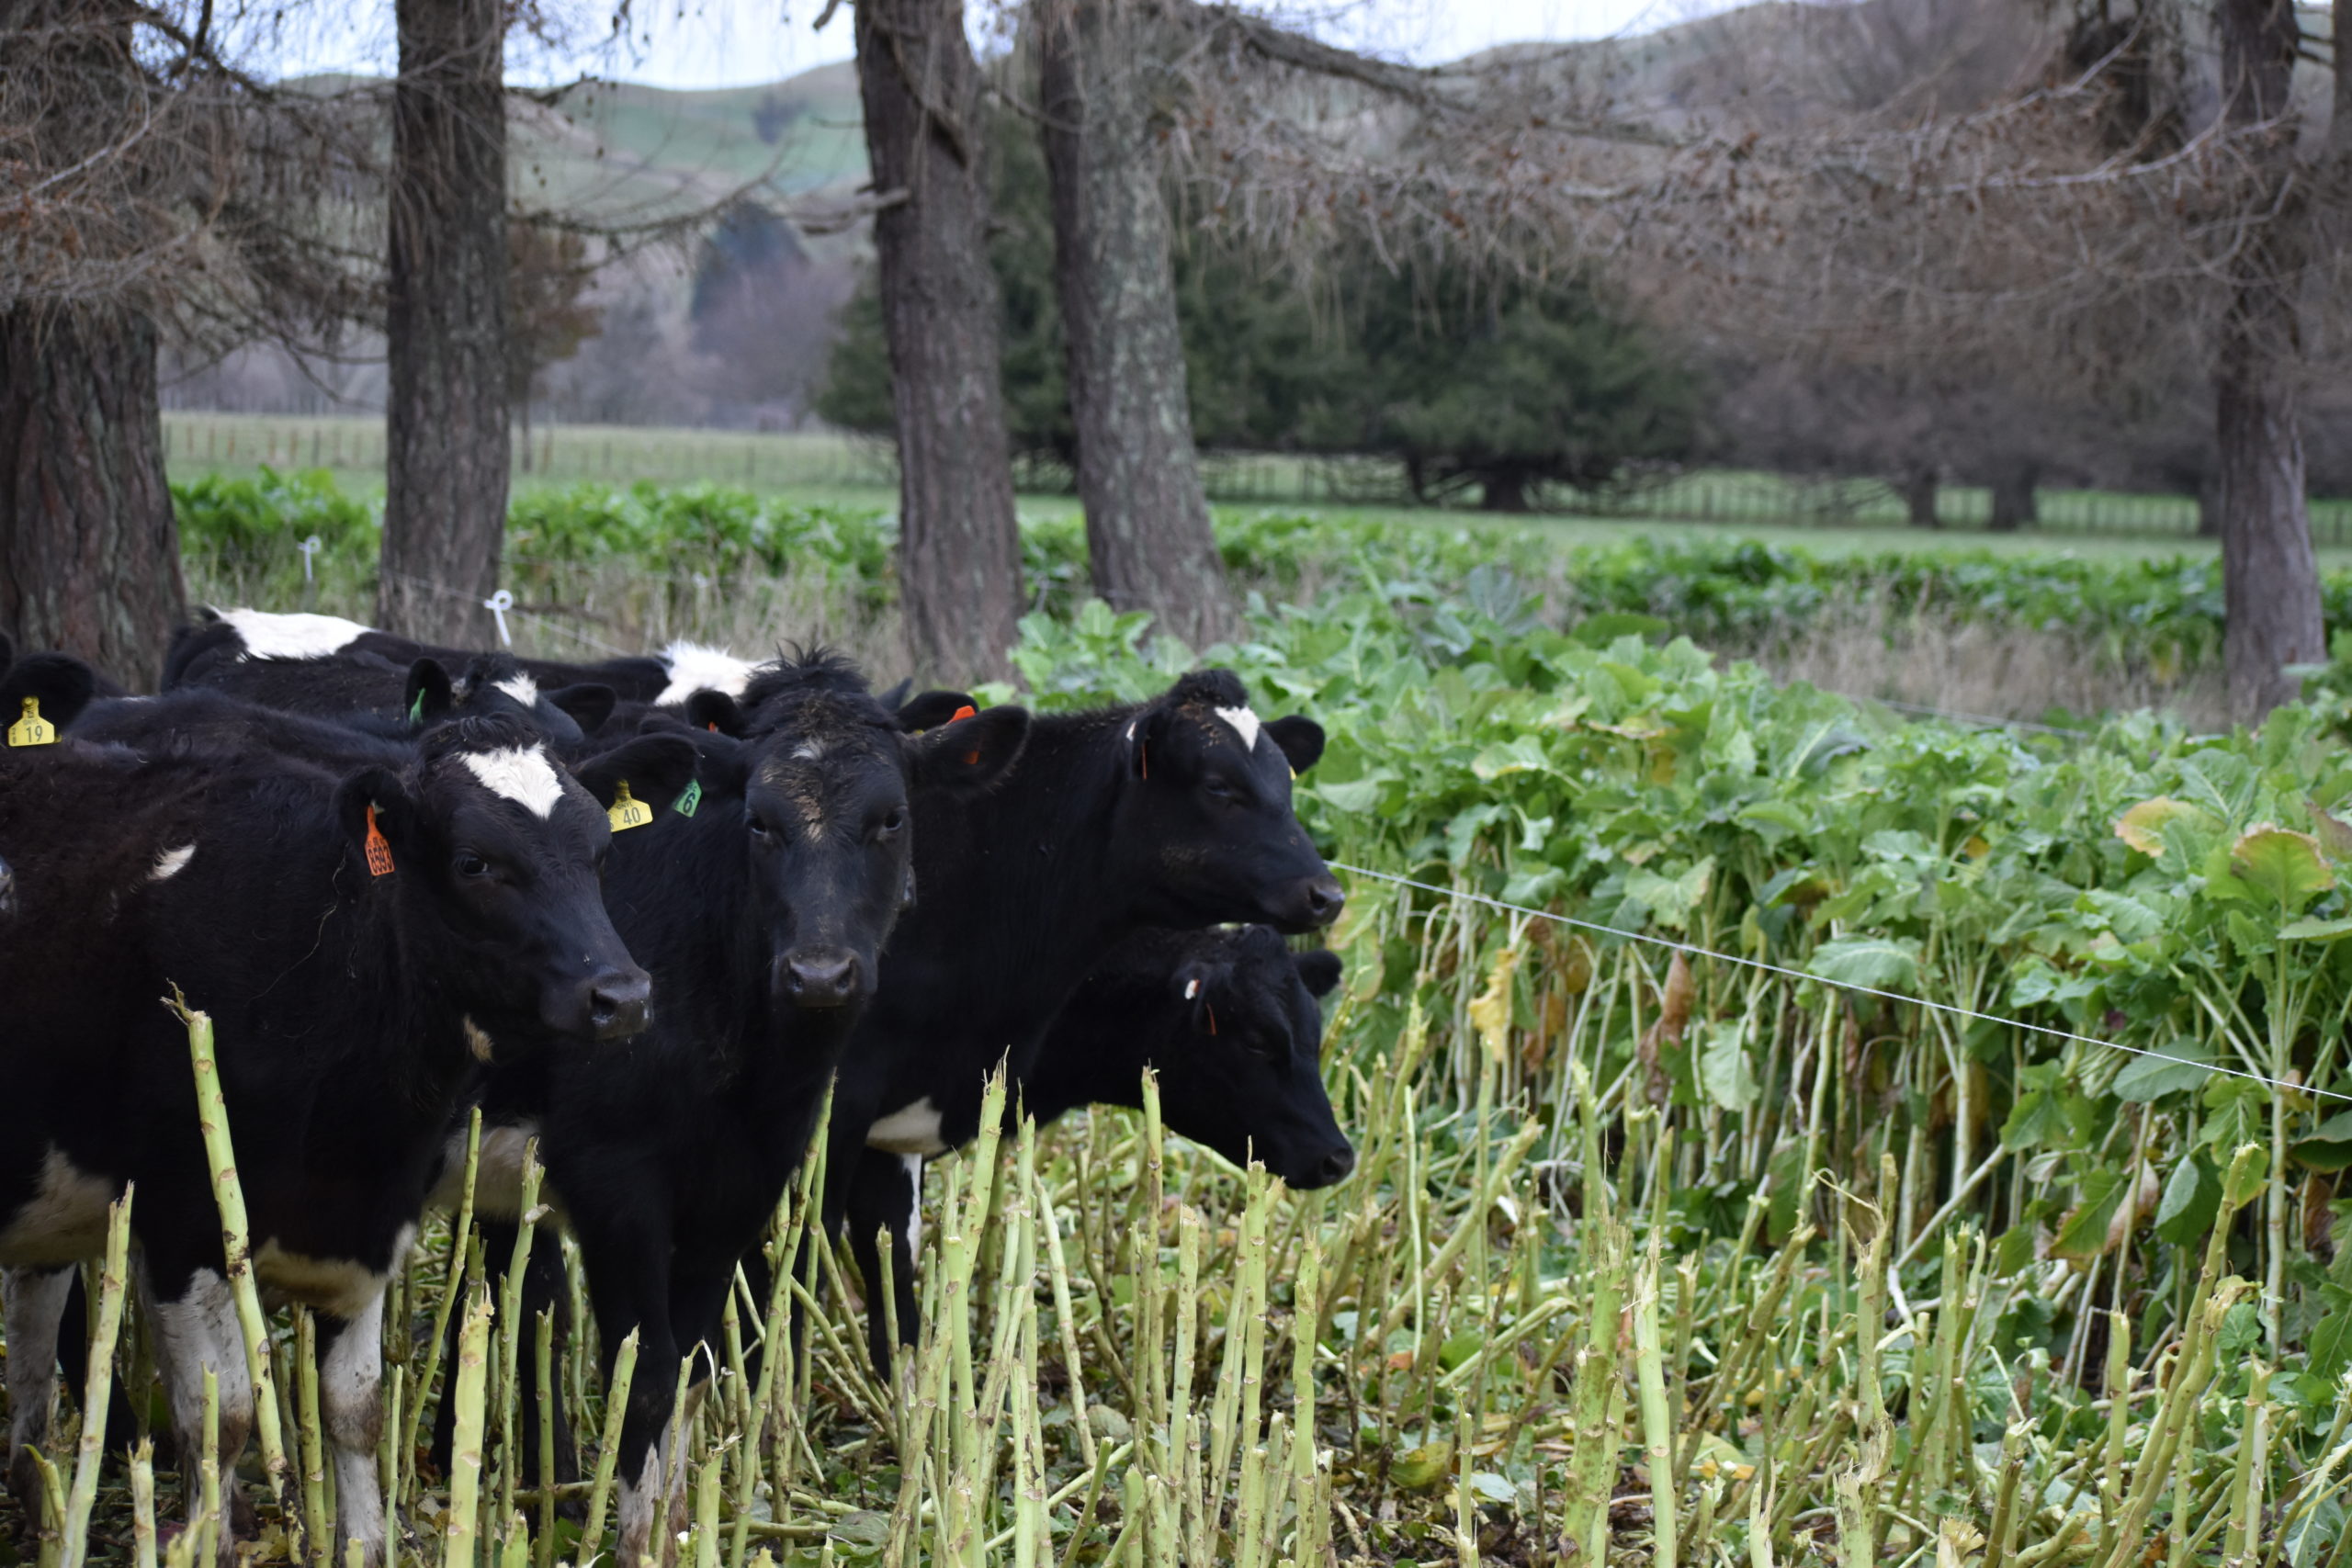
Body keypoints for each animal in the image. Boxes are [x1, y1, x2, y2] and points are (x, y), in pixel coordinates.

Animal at [0, 709, 695, 1561]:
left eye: (600, 855)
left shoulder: (368, 1224)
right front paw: (215, 1536)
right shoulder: (179, 1224)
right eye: (474, 862)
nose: (622, 996)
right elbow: (222, 1418)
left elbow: (356, 1410)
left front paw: (363, 1539)